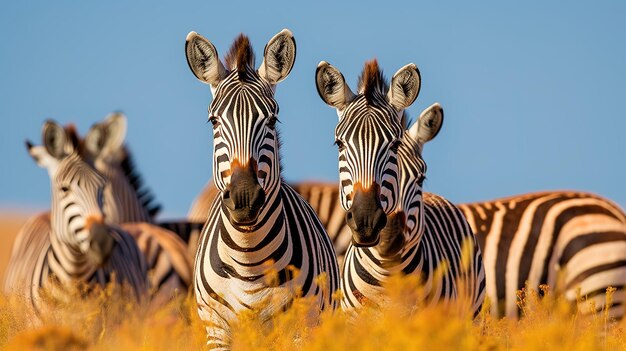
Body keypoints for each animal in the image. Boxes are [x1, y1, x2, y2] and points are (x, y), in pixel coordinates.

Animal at [185, 30, 338, 350]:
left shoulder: (299, 330)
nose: (244, 197)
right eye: (214, 121)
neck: (249, 262)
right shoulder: (216, 331)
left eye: (272, 120)